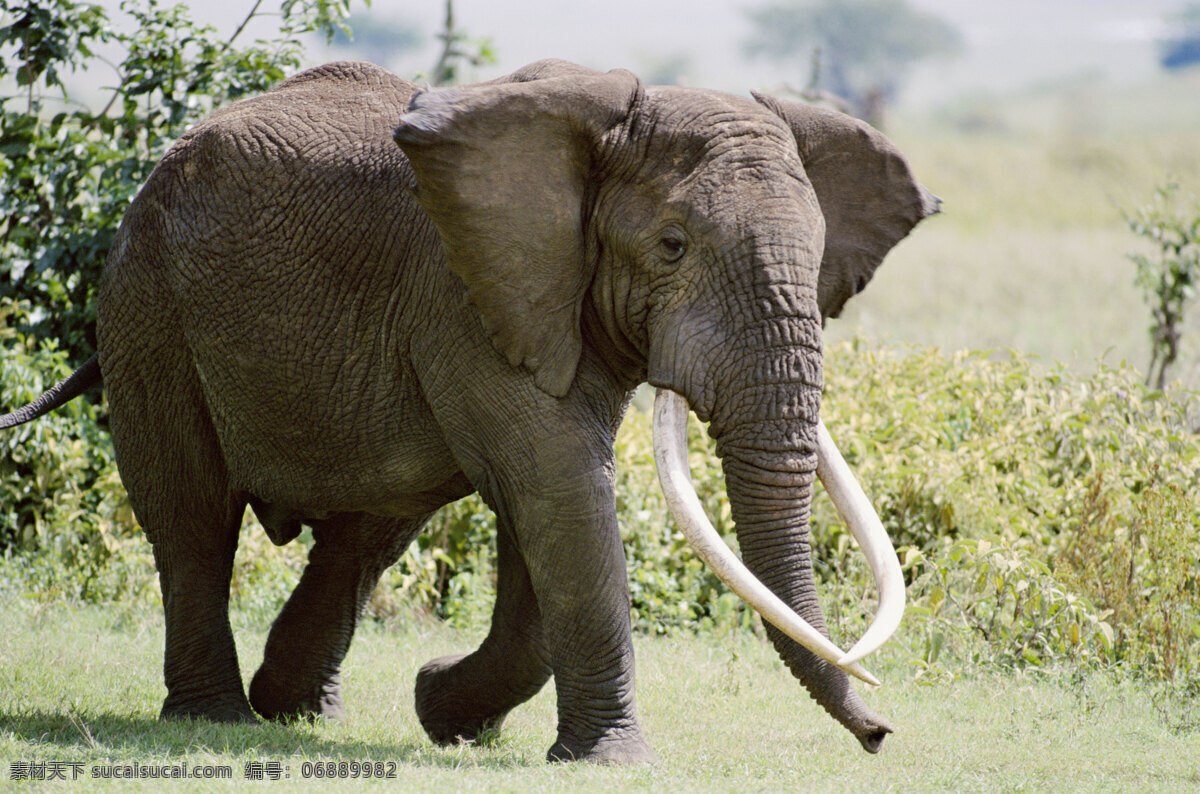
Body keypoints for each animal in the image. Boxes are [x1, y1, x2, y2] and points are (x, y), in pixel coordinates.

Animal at [0, 59, 936, 762]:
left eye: (817, 261)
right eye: (672, 245)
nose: (882, 734)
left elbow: (549, 513)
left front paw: (442, 710)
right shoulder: (467, 293)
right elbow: (561, 492)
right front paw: (600, 760)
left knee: (368, 532)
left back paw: (299, 713)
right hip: (149, 305)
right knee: (192, 516)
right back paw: (218, 718)